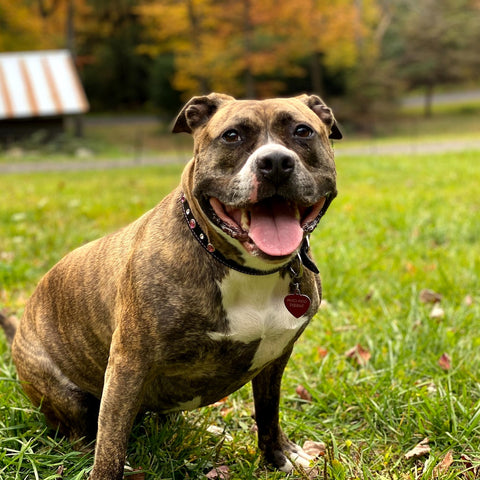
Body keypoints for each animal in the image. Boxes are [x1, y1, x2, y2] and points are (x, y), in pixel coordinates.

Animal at [3, 92, 342, 478]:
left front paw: (279, 456)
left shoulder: (276, 357)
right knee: (83, 434)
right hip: (63, 392)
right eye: (232, 136)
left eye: (302, 131)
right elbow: (111, 439)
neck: (243, 267)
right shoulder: (128, 364)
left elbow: (268, 411)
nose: (275, 162)